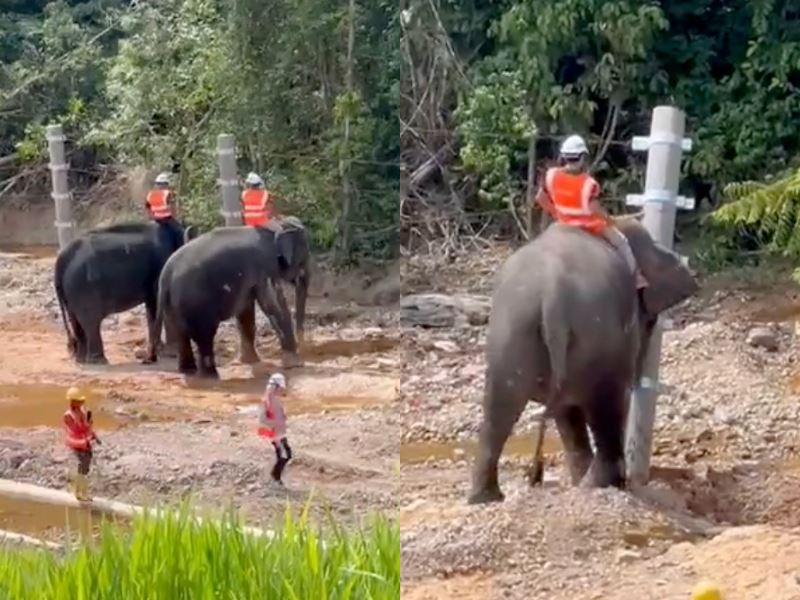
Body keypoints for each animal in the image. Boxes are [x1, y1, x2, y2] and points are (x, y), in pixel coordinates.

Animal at [54, 218, 194, 364]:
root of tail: (61, 259)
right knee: (90, 321)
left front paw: (160, 351)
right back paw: (99, 360)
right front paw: (171, 353)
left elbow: (152, 307)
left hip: (70, 290)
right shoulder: (160, 267)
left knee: (75, 320)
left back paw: (81, 360)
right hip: (83, 287)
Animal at [146, 216, 310, 378]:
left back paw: (189, 371)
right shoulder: (265, 267)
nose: (305, 348)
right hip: (195, 302)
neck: (273, 225)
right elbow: (274, 304)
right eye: (304, 257)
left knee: (182, 335)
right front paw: (294, 364)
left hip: (172, 303)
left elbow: (246, 311)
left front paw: (251, 361)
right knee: (205, 335)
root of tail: (166, 274)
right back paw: (211, 376)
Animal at [468, 217, 698, 504]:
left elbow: (567, 412)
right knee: (606, 406)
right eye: (650, 320)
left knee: (500, 405)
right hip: (594, 335)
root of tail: (552, 293)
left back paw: (486, 498)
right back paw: (598, 484)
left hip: (511, 329)